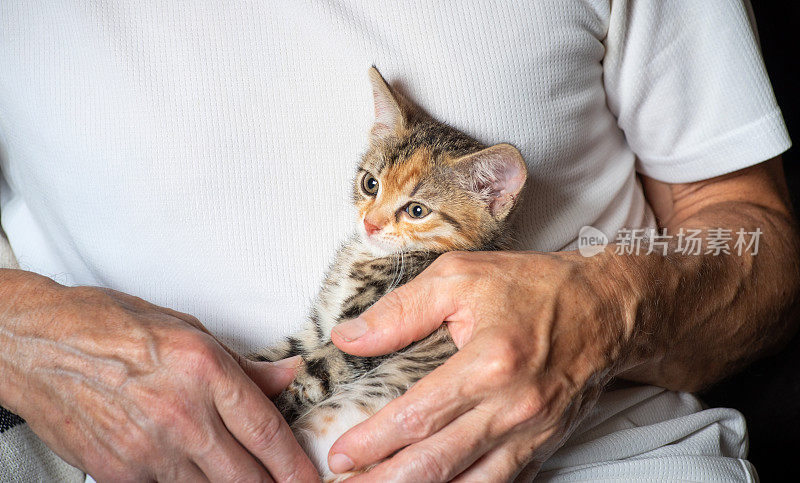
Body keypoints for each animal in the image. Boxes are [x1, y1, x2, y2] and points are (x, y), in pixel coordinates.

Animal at [256, 67, 528, 480]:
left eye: (417, 211)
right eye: (371, 184)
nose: (370, 223)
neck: (368, 256)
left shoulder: (364, 340)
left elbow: (313, 376)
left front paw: (280, 406)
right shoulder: (317, 330)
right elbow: (273, 355)